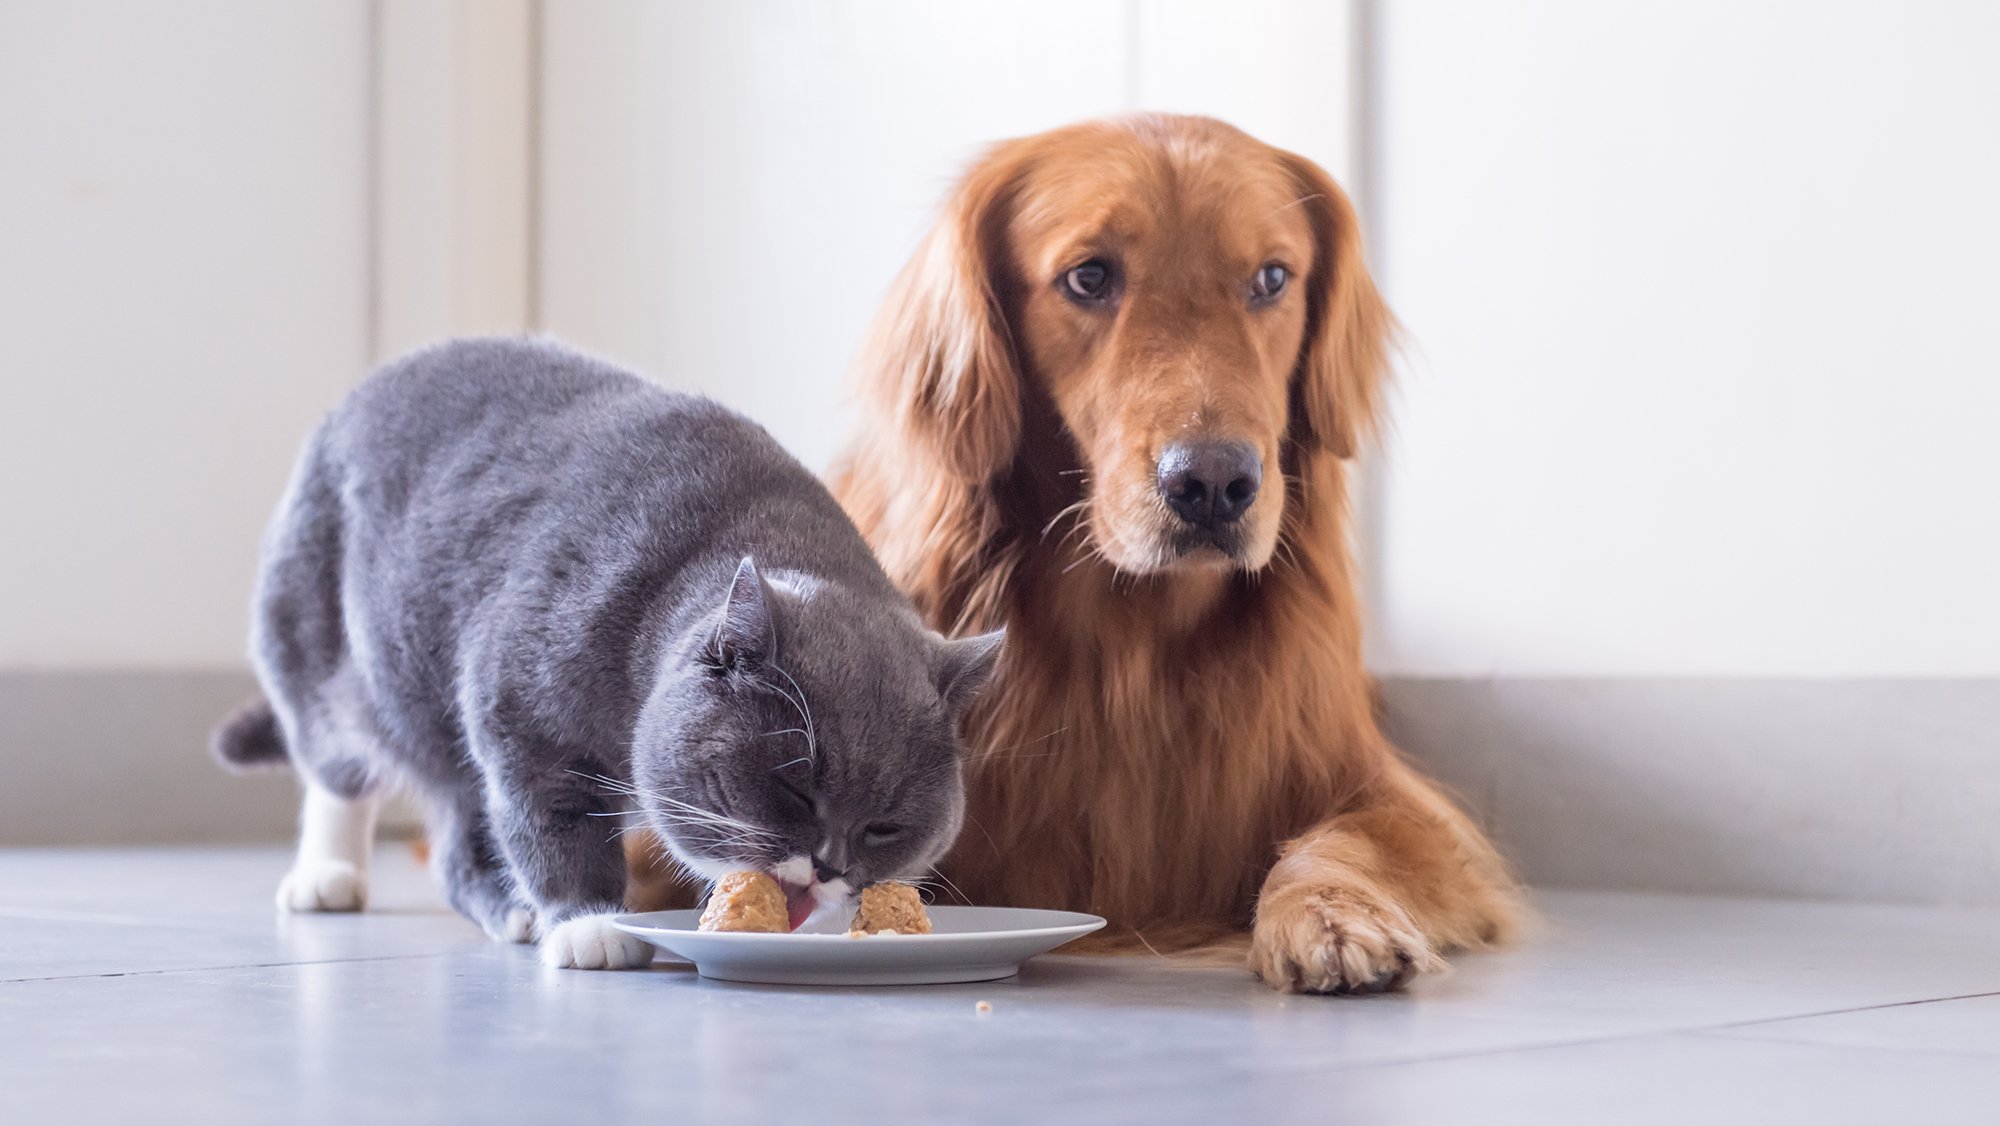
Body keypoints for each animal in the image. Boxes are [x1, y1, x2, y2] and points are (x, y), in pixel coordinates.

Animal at [207, 338, 1000, 968]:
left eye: (884, 826)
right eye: (796, 788)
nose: (829, 864)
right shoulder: (524, 715)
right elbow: (553, 825)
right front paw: (590, 924)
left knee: (458, 845)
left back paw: (505, 910)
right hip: (321, 644)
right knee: (337, 765)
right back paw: (330, 876)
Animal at [832, 117, 1512, 996]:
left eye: (1271, 278)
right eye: (1089, 277)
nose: (1214, 484)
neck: (1135, 645)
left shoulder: (1390, 795)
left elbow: (1343, 839)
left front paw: (1330, 914)